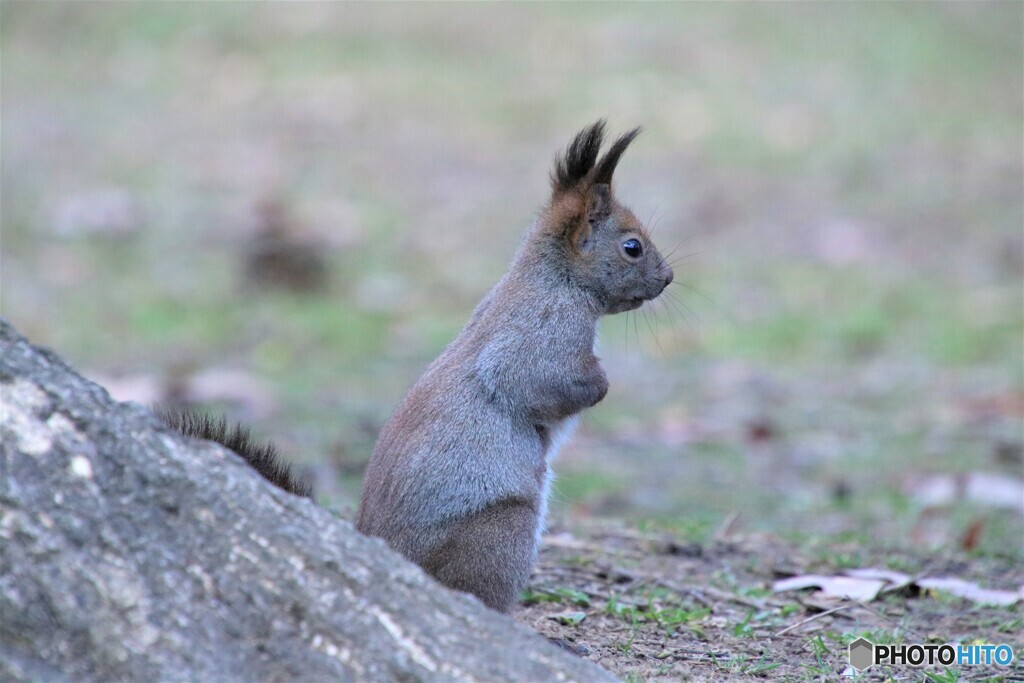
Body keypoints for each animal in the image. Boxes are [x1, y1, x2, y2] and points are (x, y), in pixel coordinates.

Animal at [159, 121, 671, 614]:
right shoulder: (541, 335)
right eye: (632, 247)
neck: (555, 279)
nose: (668, 279)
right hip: (502, 533)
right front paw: (600, 383)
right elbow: (537, 383)